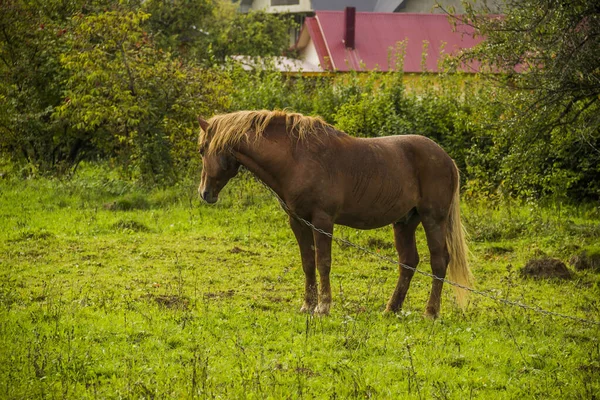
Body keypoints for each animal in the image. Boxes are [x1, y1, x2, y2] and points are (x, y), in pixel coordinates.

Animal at [199, 109, 472, 318]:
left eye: (202, 149)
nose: (204, 193)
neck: (297, 158)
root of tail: (446, 159)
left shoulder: (322, 221)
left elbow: (323, 262)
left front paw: (323, 306)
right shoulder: (298, 221)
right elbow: (308, 262)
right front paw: (307, 305)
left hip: (433, 219)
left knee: (439, 261)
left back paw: (430, 312)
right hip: (404, 222)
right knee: (408, 262)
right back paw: (391, 309)